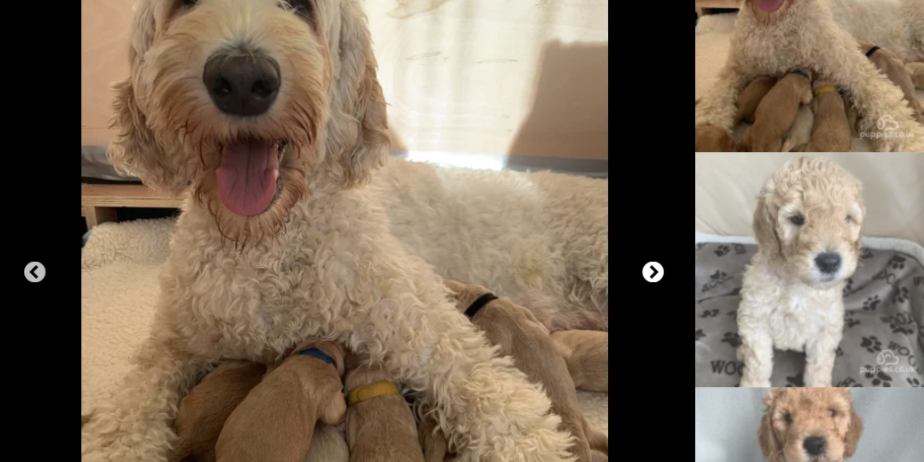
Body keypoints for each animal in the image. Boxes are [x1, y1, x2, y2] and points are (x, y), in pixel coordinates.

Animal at [81, 0, 608, 462]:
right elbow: (128, 410)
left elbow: (503, 408)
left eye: (300, 7)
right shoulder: (175, 342)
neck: (265, 239)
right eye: (186, 4)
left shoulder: (426, 328)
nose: (243, 78)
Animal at [696, 0, 924, 152]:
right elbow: (714, 104)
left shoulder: (852, 66)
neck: (775, 23)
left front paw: (912, 144)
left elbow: (886, 101)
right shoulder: (736, 69)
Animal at [732, 157, 864, 388]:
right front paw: (754, 385)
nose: (829, 262)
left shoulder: (826, 327)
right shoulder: (755, 318)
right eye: (796, 219)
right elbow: (757, 361)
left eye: (847, 218)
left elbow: (819, 365)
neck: (797, 282)